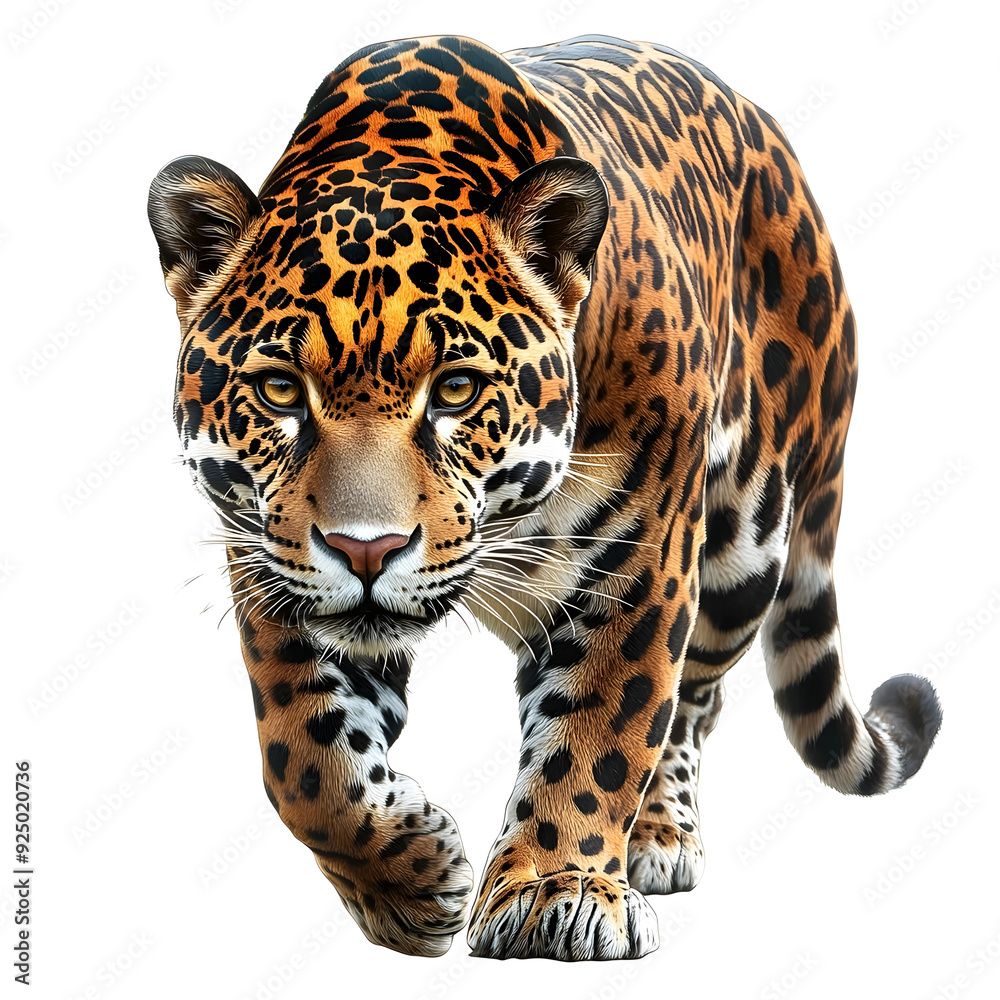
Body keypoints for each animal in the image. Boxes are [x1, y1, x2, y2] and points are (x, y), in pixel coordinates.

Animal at [148, 34, 942, 961]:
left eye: (456, 390)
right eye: (278, 390)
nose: (366, 549)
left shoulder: (638, 565)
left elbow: (606, 727)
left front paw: (554, 891)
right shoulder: (270, 564)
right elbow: (302, 759)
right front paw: (410, 883)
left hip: (751, 543)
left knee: (694, 700)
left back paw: (658, 835)